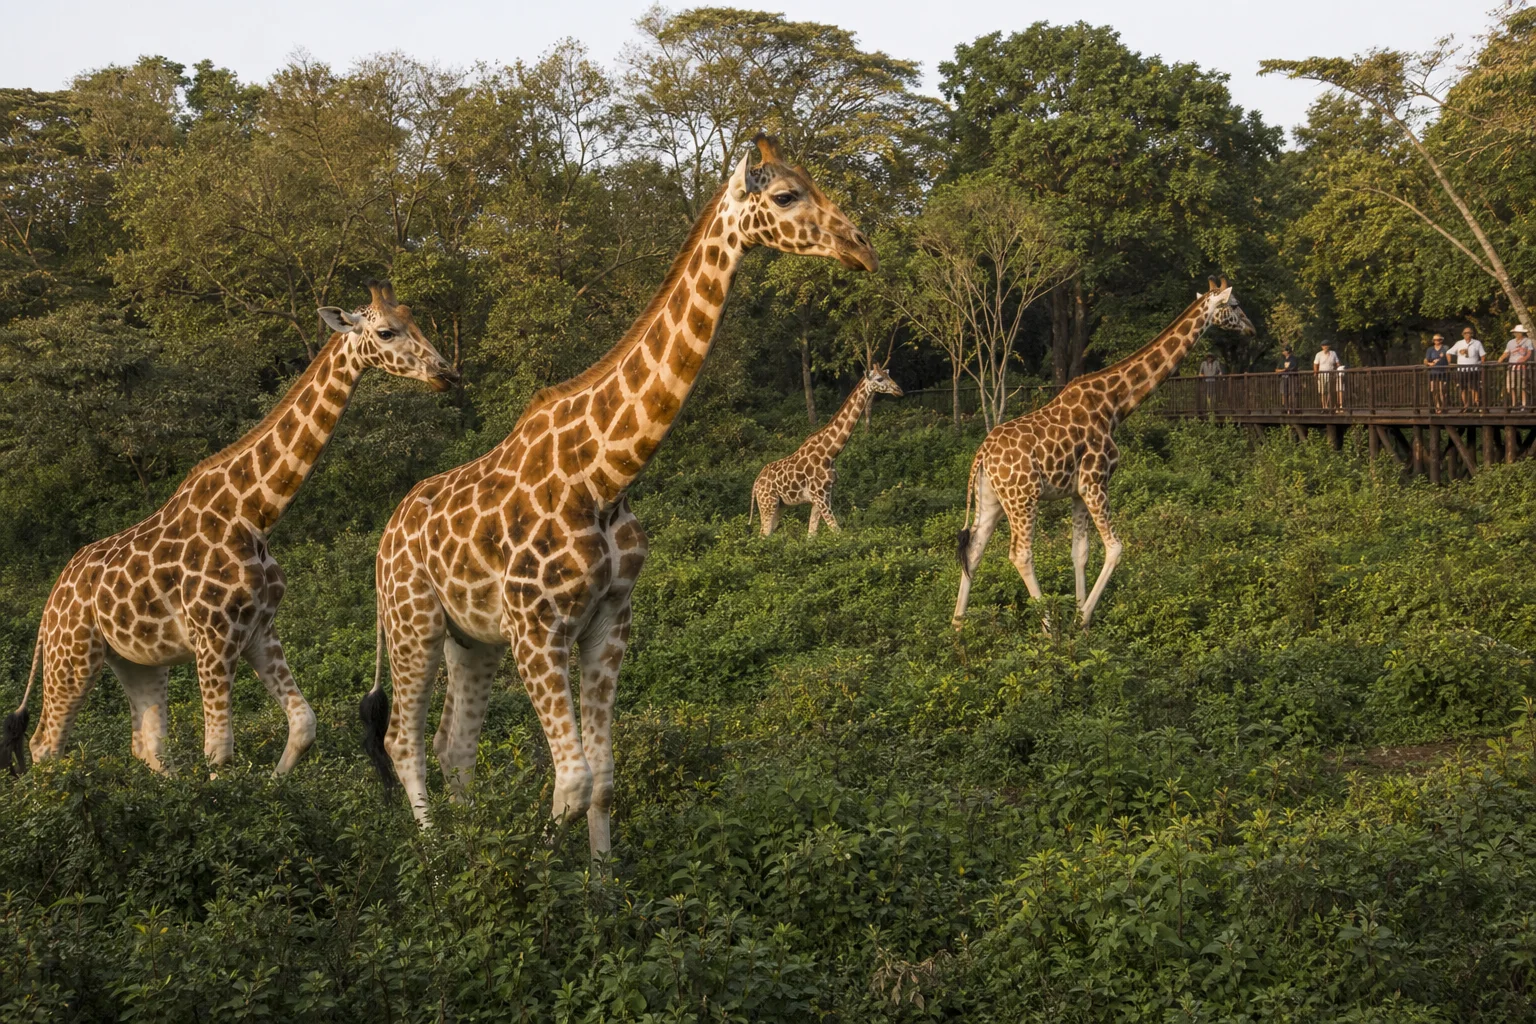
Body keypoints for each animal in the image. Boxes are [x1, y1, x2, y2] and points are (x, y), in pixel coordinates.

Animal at [0, 283, 457, 777]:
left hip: (137, 661)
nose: (446, 373)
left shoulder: (259, 630)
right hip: (73, 654)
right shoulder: (214, 638)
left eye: (415, 319)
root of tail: (50, 603)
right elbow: (219, 749)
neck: (255, 514)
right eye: (386, 331)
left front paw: (274, 788)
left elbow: (304, 724)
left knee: (149, 744)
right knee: (46, 743)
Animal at [363, 134, 877, 852]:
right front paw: (537, 872)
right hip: (415, 623)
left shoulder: (609, 620)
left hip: (473, 639)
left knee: (452, 747)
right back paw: (440, 860)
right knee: (401, 741)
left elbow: (602, 777)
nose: (862, 246)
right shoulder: (537, 629)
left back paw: (469, 845)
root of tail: (383, 540)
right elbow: (572, 781)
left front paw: (600, 881)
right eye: (785, 195)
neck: (603, 476)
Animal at [749, 366, 903, 537]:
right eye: (879, 379)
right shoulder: (820, 496)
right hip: (768, 503)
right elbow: (837, 531)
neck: (830, 454)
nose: (899, 390)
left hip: (779, 506)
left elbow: (811, 535)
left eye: (888, 374)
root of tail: (755, 484)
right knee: (763, 535)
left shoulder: (823, 496)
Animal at [952, 278, 1254, 630]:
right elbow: (1115, 548)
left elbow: (1079, 553)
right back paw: (1049, 630)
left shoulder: (1078, 491)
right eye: (1234, 305)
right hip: (1023, 498)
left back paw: (958, 628)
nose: (1251, 329)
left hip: (991, 500)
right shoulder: (1095, 482)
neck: (1115, 404)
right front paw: (1082, 620)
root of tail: (982, 455)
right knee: (1020, 554)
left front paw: (1079, 615)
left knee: (973, 552)